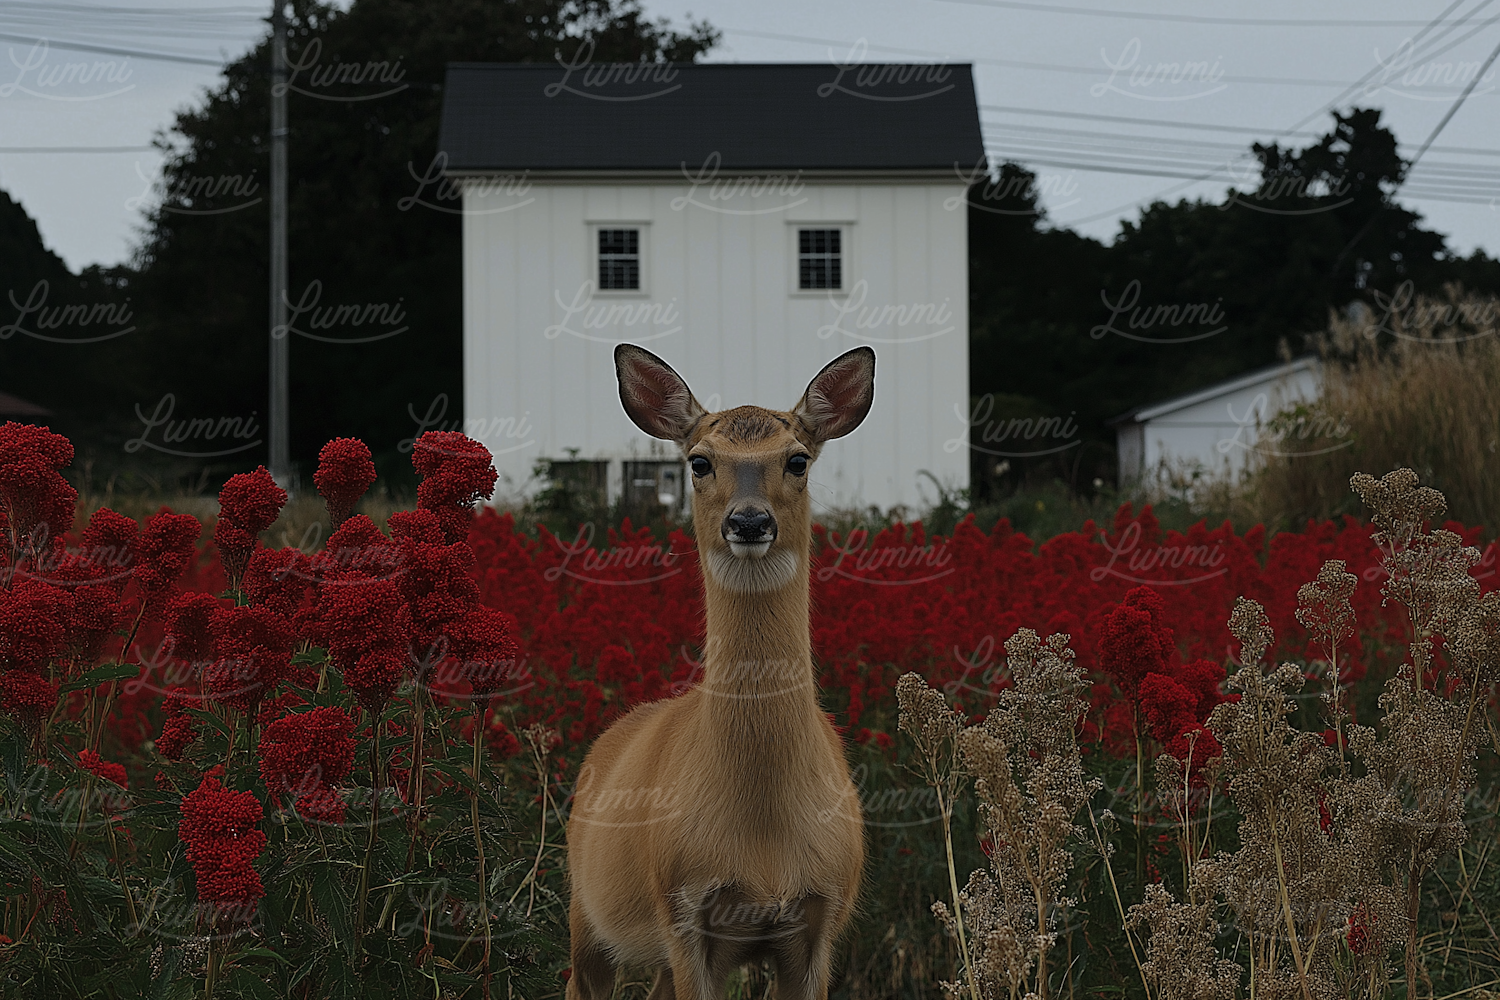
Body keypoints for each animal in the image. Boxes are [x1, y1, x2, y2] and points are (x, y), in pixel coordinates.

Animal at [564, 346, 876, 1000]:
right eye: (700, 461)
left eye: (797, 459)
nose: (749, 521)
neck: (761, 842)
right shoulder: (683, 910)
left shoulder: (822, 916)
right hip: (586, 914)